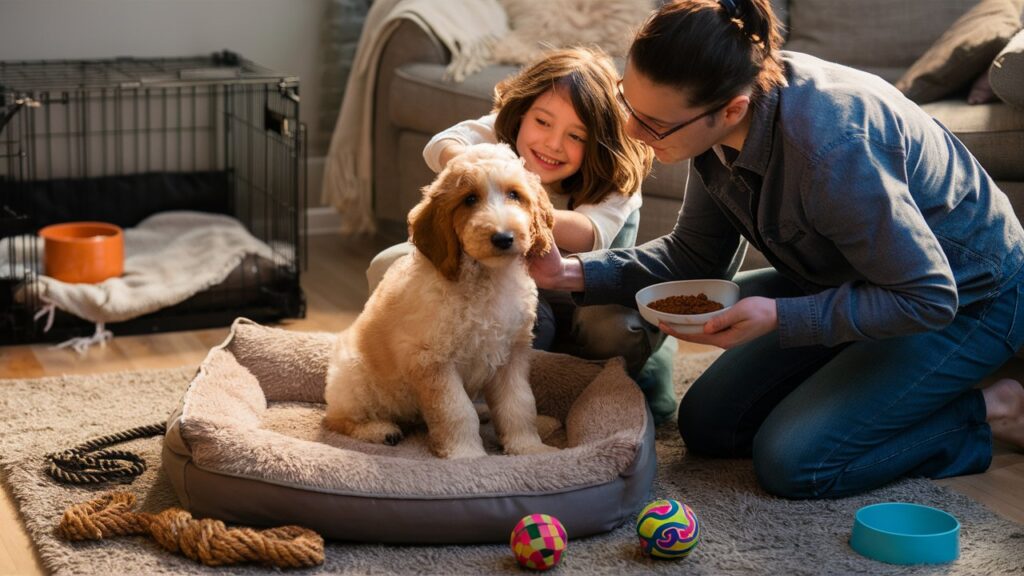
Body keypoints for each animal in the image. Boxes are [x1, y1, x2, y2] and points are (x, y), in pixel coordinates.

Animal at [323, 143, 557, 457]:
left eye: (514, 195)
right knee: (336, 419)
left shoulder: (512, 354)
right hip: (353, 379)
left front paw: (528, 447)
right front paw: (467, 455)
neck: (486, 278)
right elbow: (457, 411)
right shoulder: (432, 361)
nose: (503, 238)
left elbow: (519, 404)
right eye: (470, 199)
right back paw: (379, 430)